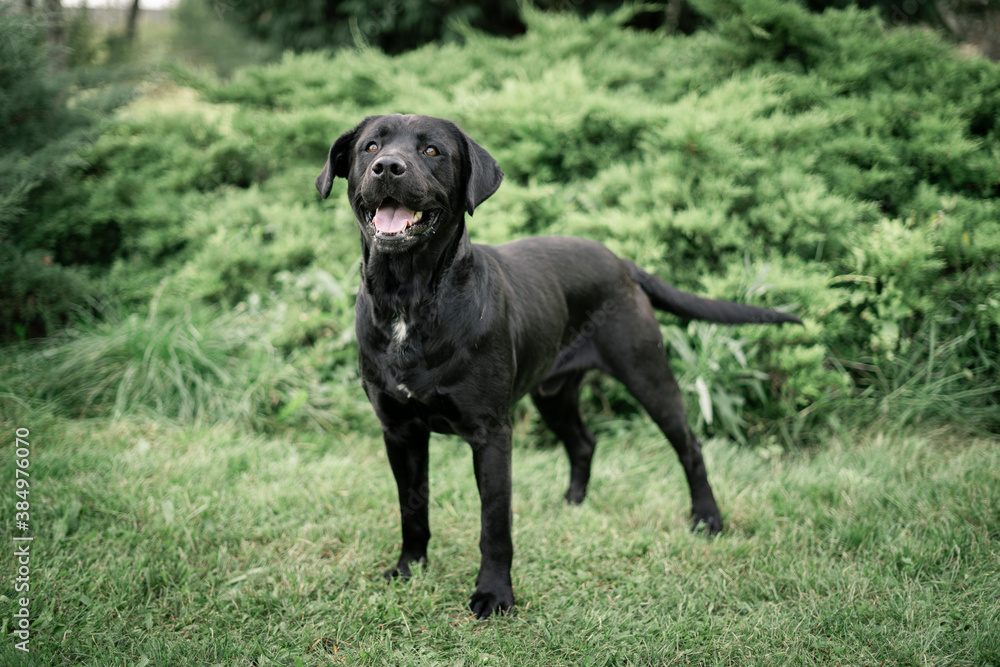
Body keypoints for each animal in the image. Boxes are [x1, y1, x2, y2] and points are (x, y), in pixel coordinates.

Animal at [316, 115, 800, 620]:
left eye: (432, 151)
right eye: (371, 147)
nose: (388, 167)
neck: (408, 300)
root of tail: (621, 261)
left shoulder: (491, 433)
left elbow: (494, 524)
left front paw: (494, 595)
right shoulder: (399, 431)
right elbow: (412, 508)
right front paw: (409, 569)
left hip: (648, 374)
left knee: (690, 446)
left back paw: (706, 519)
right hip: (554, 393)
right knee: (584, 442)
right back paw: (572, 504)